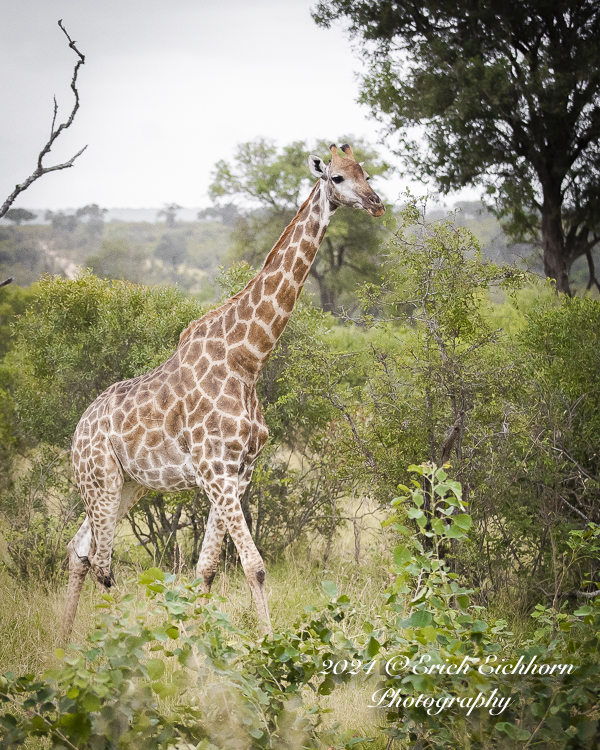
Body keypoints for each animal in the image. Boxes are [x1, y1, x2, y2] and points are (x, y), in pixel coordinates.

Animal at [64, 144, 384, 636]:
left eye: (365, 172)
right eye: (336, 178)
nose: (375, 202)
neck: (248, 358)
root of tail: (77, 432)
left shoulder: (238, 472)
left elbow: (208, 567)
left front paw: (197, 640)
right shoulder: (215, 471)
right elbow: (254, 565)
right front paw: (268, 646)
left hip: (126, 484)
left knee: (78, 550)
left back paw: (62, 642)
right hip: (100, 480)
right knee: (100, 559)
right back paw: (112, 637)